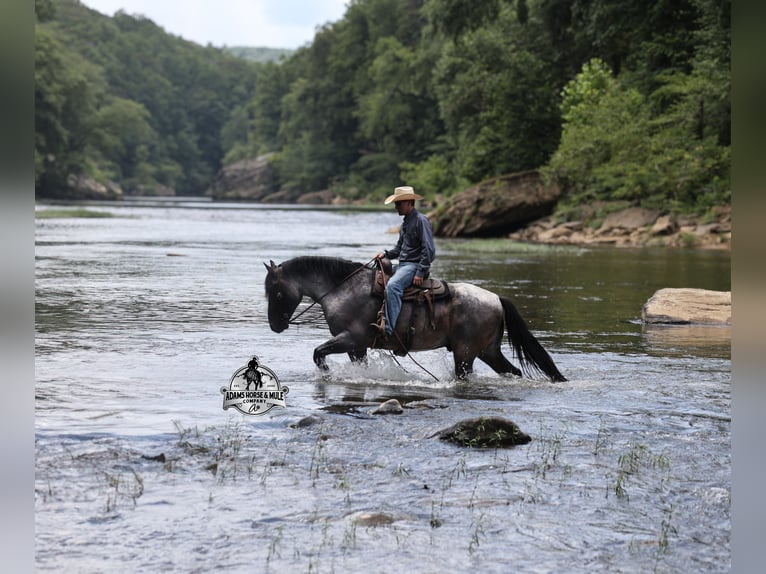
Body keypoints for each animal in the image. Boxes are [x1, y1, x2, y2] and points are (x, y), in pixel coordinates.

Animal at [264, 256, 566, 382]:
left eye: (276, 292)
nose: (275, 326)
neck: (343, 289)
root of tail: (496, 298)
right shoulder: (357, 347)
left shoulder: (351, 339)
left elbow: (318, 353)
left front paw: (326, 373)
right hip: (488, 351)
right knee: (512, 371)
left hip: (465, 354)